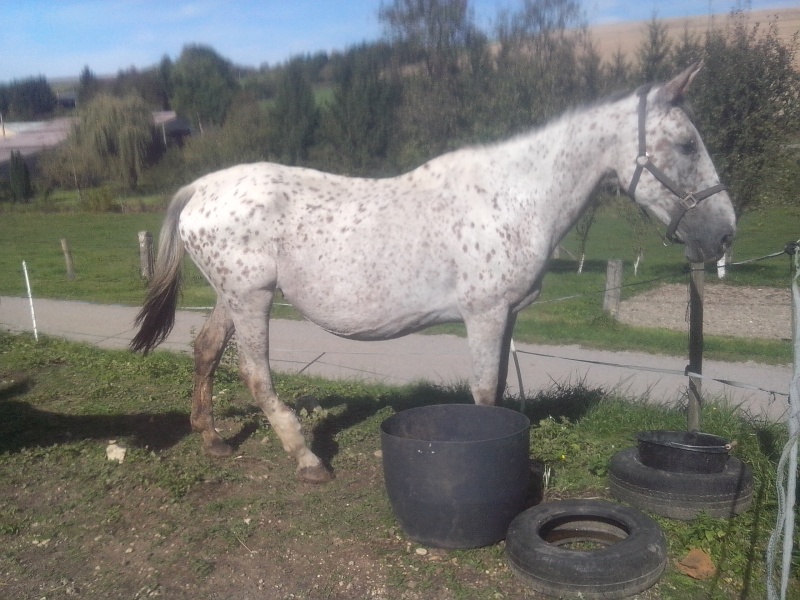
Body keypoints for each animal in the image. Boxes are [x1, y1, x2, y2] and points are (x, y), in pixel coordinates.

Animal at [131, 64, 736, 482]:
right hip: (252, 299)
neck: (515, 197)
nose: (724, 233)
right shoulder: (485, 314)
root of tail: (199, 189)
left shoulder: (505, 316)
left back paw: (211, 439)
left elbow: (498, 388)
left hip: (231, 297)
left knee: (206, 351)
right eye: (687, 144)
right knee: (256, 375)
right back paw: (306, 460)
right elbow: (485, 392)